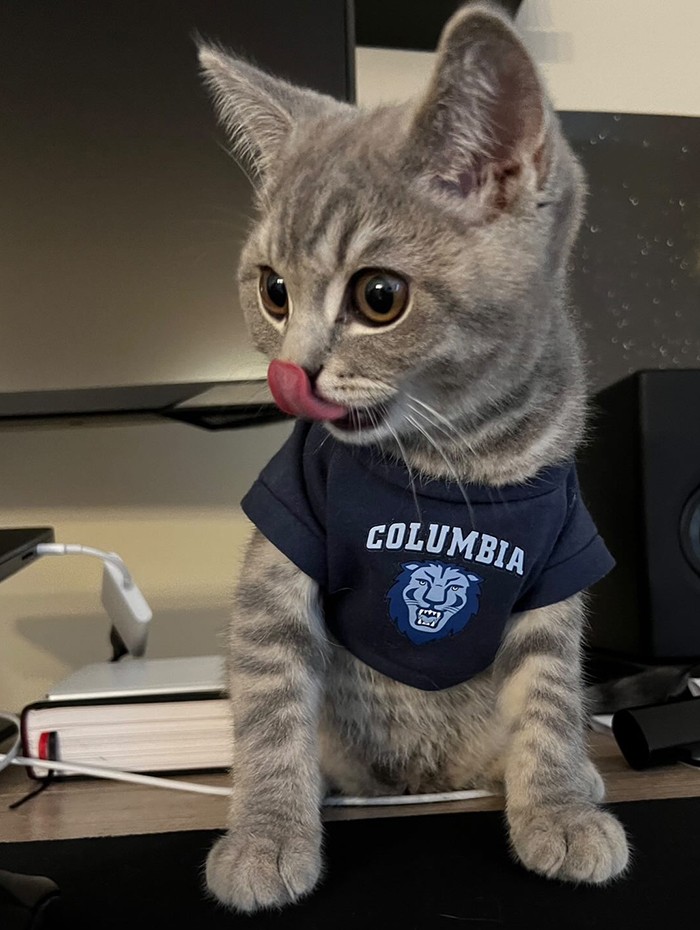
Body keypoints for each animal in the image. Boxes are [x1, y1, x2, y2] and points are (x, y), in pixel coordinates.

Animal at [196, 1, 628, 912]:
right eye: (273, 291)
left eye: (378, 297)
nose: (291, 372)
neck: (456, 460)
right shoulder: (284, 544)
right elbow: (270, 696)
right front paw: (267, 831)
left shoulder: (560, 559)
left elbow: (549, 695)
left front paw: (558, 806)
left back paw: (576, 778)